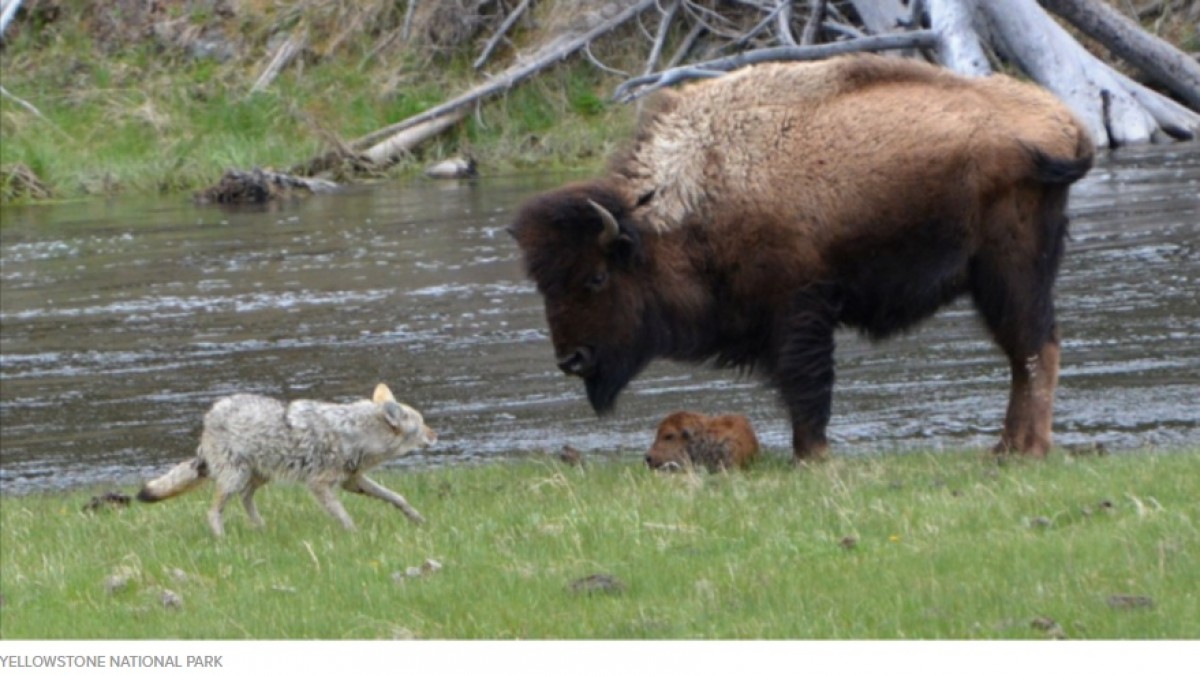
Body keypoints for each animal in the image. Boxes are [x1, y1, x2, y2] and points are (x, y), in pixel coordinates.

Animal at [511, 55, 1094, 458]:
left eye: (595, 277)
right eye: (545, 284)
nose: (571, 359)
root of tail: (1064, 124)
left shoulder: (798, 310)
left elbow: (806, 387)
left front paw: (810, 456)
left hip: (1010, 269)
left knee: (1034, 348)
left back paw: (1025, 450)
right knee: (1026, 353)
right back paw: (1006, 447)